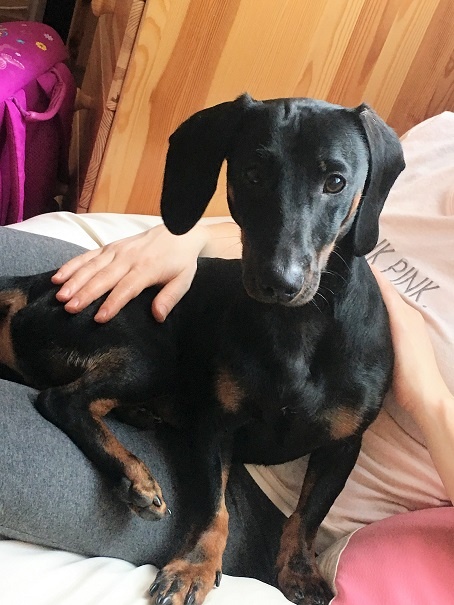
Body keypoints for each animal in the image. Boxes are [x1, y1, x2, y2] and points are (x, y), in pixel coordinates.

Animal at [0, 94, 405, 605]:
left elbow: (309, 514)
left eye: (336, 181)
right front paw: (194, 567)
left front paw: (299, 571)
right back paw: (134, 474)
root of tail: (34, 286)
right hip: (150, 355)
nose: (280, 282)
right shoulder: (216, 426)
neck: (296, 328)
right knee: (63, 399)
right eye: (252, 173)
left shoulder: (344, 444)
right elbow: (216, 509)